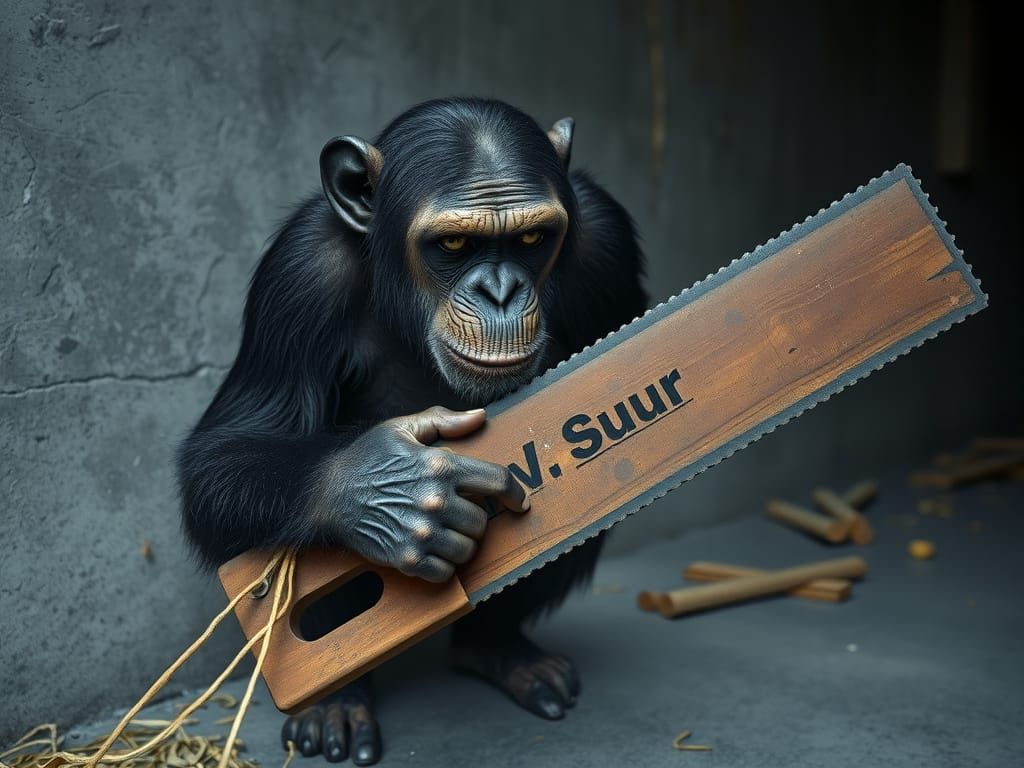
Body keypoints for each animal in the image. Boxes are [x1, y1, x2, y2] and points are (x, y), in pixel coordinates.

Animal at [178, 97, 647, 765]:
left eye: (532, 239)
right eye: (452, 243)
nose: (500, 291)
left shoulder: (609, 243)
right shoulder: (297, 272)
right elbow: (225, 450)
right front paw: (383, 488)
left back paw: (499, 648)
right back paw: (336, 701)